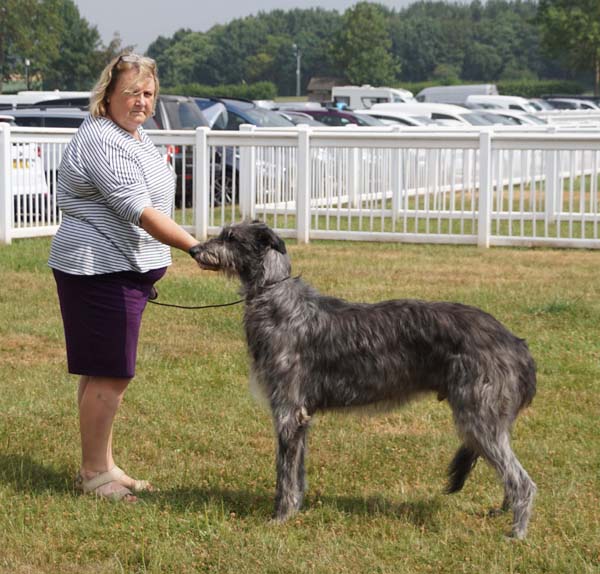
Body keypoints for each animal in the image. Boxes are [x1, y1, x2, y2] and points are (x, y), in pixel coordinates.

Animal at [193, 220, 540, 540]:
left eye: (231, 237)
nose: (195, 250)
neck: (276, 297)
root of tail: (516, 344)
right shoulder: (302, 417)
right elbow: (298, 471)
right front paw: (296, 511)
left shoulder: (288, 410)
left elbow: (285, 474)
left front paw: (280, 517)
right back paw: (502, 512)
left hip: (478, 416)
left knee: (522, 481)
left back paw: (517, 533)